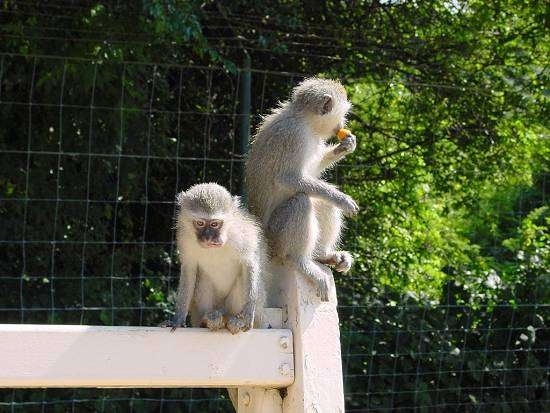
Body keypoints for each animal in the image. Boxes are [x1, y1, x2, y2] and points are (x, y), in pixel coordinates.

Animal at [165, 182, 266, 334]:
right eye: (200, 223)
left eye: (214, 224)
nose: (208, 238)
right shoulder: (184, 238)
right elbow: (189, 270)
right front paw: (178, 319)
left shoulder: (243, 234)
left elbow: (249, 263)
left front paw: (247, 315)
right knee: (202, 279)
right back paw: (207, 320)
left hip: (232, 306)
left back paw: (236, 320)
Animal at [247, 77, 360, 300]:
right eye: (343, 114)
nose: (342, 126)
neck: (305, 121)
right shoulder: (294, 137)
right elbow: (288, 178)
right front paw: (342, 199)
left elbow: (311, 171)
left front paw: (343, 147)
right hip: (276, 236)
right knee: (301, 201)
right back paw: (299, 260)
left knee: (322, 202)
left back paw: (323, 255)